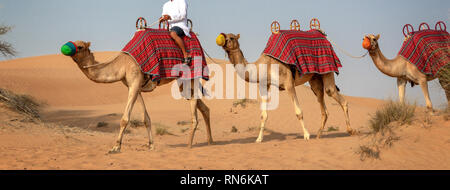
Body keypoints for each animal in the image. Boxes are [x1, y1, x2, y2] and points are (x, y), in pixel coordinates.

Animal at [65, 40, 214, 153]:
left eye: (80, 46)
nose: (65, 48)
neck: (122, 65)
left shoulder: (135, 82)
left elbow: (125, 119)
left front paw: (116, 147)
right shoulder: (135, 86)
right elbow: (146, 118)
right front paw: (151, 145)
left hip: (190, 77)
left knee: (194, 107)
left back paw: (189, 145)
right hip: (184, 83)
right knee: (204, 108)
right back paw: (210, 141)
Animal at [216, 33, 356, 142]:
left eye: (231, 37)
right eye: (225, 35)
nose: (223, 40)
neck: (264, 65)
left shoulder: (288, 83)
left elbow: (298, 112)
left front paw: (306, 135)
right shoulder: (264, 85)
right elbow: (263, 115)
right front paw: (259, 139)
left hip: (327, 70)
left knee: (334, 93)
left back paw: (351, 131)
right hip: (315, 79)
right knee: (322, 102)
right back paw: (318, 134)